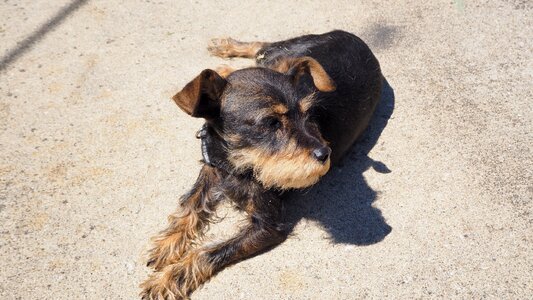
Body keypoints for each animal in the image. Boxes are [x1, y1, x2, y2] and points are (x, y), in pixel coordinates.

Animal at [140, 31, 382, 300]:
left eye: (308, 115)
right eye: (271, 122)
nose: (324, 154)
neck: (238, 163)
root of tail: (354, 38)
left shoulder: (269, 226)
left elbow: (209, 252)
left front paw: (169, 278)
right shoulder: (211, 169)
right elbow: (189, 205)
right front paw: (167, 244)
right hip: (281, 53)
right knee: (259, 47)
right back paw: (223, 57)